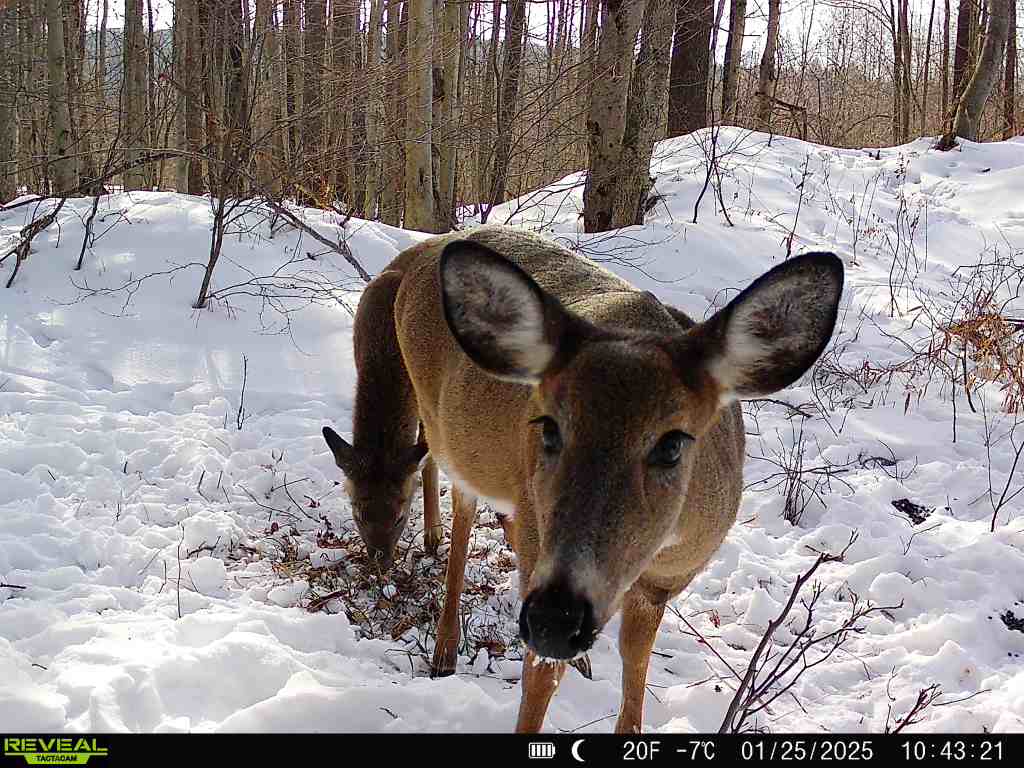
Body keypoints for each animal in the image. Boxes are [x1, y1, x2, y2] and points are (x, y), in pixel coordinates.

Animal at [331, 225, 843, 729]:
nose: (557, 619)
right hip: (444, 427)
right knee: (461, 505)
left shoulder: (662, 583)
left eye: (672, 444)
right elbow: (539, 681)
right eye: (549, 427)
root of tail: (424, 253)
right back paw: (444, 645)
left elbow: (635, 669)